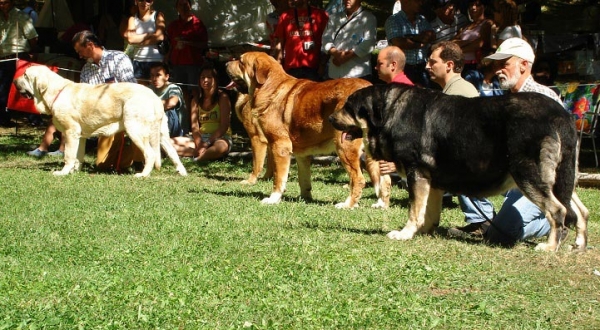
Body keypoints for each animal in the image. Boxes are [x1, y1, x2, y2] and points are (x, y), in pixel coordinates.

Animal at [14, 65, 188, 178]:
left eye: (25, 76)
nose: (15, 81)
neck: (55, 92)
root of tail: (154, 97)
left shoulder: (71, 132)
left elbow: (69, 155)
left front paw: (63, 172)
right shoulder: (80, 136)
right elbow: (78, 156)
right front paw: (74, 171)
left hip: (135, 129)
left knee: (150, 154)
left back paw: (142, 174)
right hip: (161, 133)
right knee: (173, 152)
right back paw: (182, 172)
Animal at [225, 51, 390, 208]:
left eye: (241, 62)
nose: (226, 63)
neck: (270, 87)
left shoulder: (279, 146)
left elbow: (278, 177)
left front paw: (273, 199)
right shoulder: (301, 154)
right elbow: (303, 179)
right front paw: (305, 198)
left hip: (344, 146)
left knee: (359, 179)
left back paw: (347, 205)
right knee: (385, 179)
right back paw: (380, 205)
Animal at [328, 84, 584, 251]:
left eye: (349, 107)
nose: (329, 119)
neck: (390, 112)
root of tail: (560, 114)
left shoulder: (416, 173)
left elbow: (413, 210)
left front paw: (405, 233)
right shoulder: (431, 181)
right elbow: (428, 212)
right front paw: (423, 231)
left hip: (527, 175)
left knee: (558, 211)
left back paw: (549, 247)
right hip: (560, 178)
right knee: (580, 210)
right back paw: (580, 242)